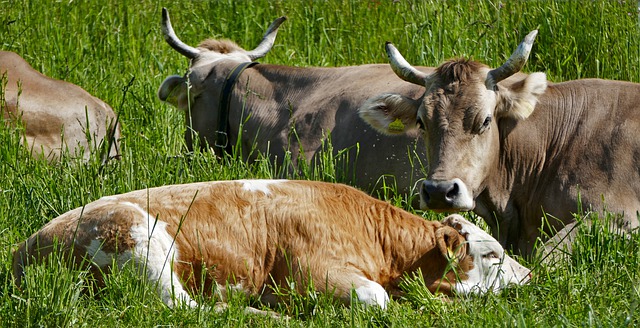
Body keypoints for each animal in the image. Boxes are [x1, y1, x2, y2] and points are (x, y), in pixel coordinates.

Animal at [11, 179, 528, 316]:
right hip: (141, 243)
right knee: (187, 310)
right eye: (492, 254)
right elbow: (376, 298)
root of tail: (24, 247)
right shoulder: (312, 273)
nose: (530, 276)